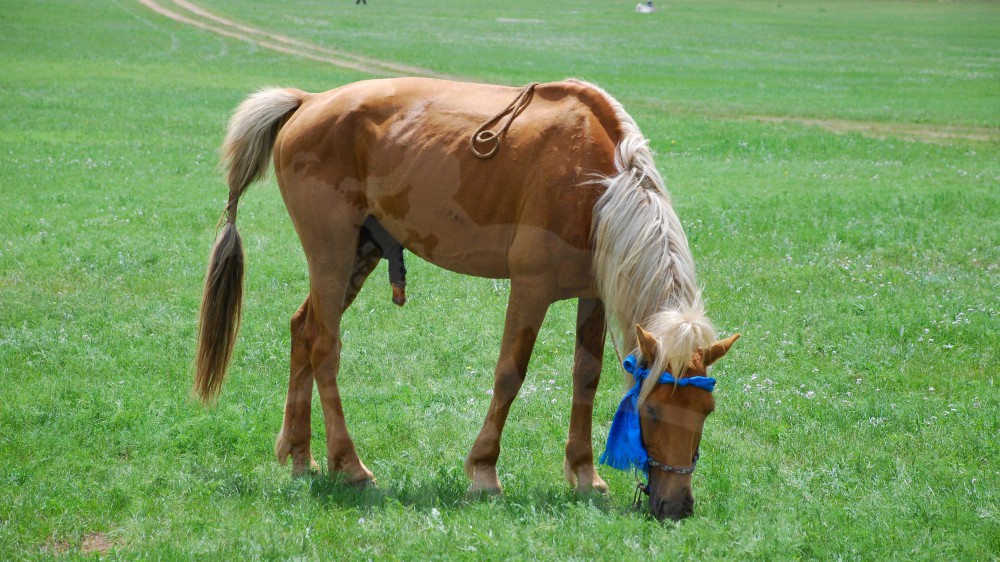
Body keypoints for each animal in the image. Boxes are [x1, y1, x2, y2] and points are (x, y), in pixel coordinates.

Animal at [195, 76, 740, 520]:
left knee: (302, 331)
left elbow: (585, 378)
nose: (676, 506)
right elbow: (509, 375)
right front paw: (483, 473)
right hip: (331, 254)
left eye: (706, 410)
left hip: (358, 255)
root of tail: (308, 101)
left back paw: (300, 455)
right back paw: (349, 466)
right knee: (325, 348)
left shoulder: (596, 295)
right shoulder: (531, 289)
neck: (598, 184)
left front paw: (585, 475)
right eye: (652, 411)